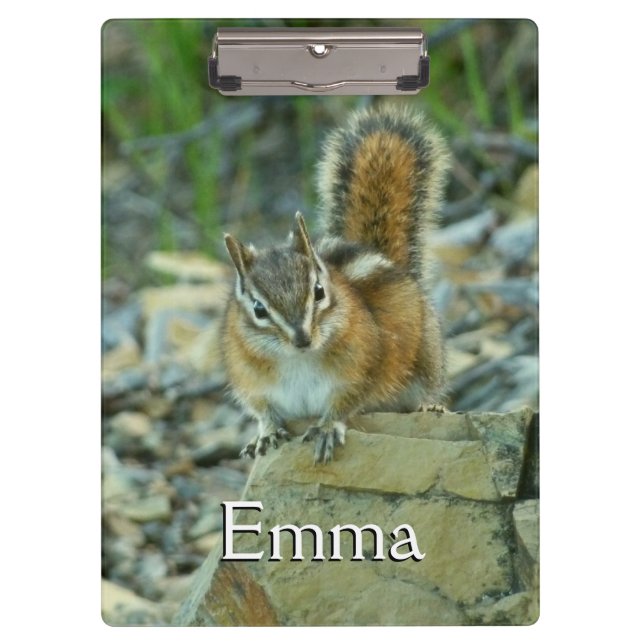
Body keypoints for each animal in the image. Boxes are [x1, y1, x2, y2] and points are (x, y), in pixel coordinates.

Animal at [221, 105, 450, 464]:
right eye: (258, 309)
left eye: (318, 292)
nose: (302, 338)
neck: (297, 360)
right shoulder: (251, 382)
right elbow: (263, 411)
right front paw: (266, 433)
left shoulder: (361, 370)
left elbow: (345, 403)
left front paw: (327, 427)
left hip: (427, 360)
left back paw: (430, 406)